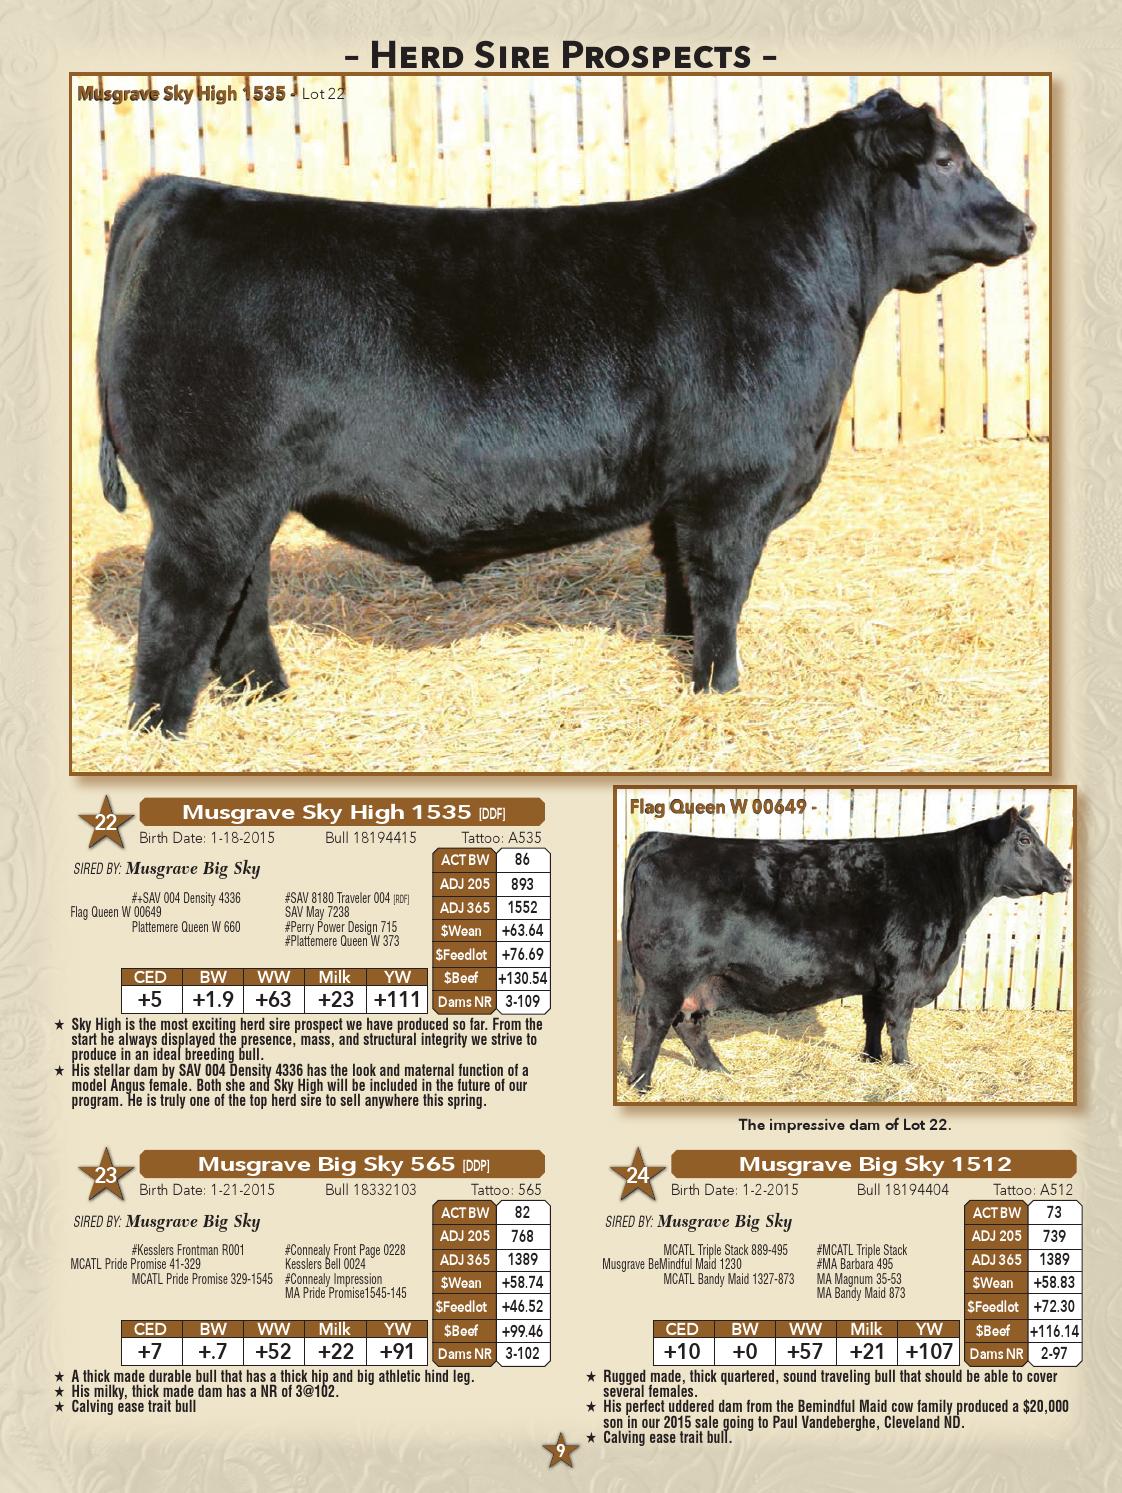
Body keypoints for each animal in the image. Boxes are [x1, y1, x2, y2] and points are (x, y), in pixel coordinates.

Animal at [95, 89, 1035, 735]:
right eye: (946, 161)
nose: (1024, 224)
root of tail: (178, 192)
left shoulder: (683, 491)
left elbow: (681, 577)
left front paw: (682, 655)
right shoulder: (734, 485)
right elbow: (723, 587)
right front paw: (720, 688)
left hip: (243, 500)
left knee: (241, 601)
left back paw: (266, 695)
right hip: (207, 499)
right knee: (177, 609)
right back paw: (161, 731)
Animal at [618, 807, 1070, 1092]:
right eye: (1025, 840)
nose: (1065, 875)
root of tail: (661, 837)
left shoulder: (878, 979)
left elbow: (873, 1020)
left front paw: (872, 1060)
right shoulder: (905, 975)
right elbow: (899, 1025)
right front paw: (903, 1067)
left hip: (701, 981)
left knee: (689, 1024)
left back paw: (720, 1071)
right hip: (667, 977)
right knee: (652, 1024)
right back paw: (641, 1085)